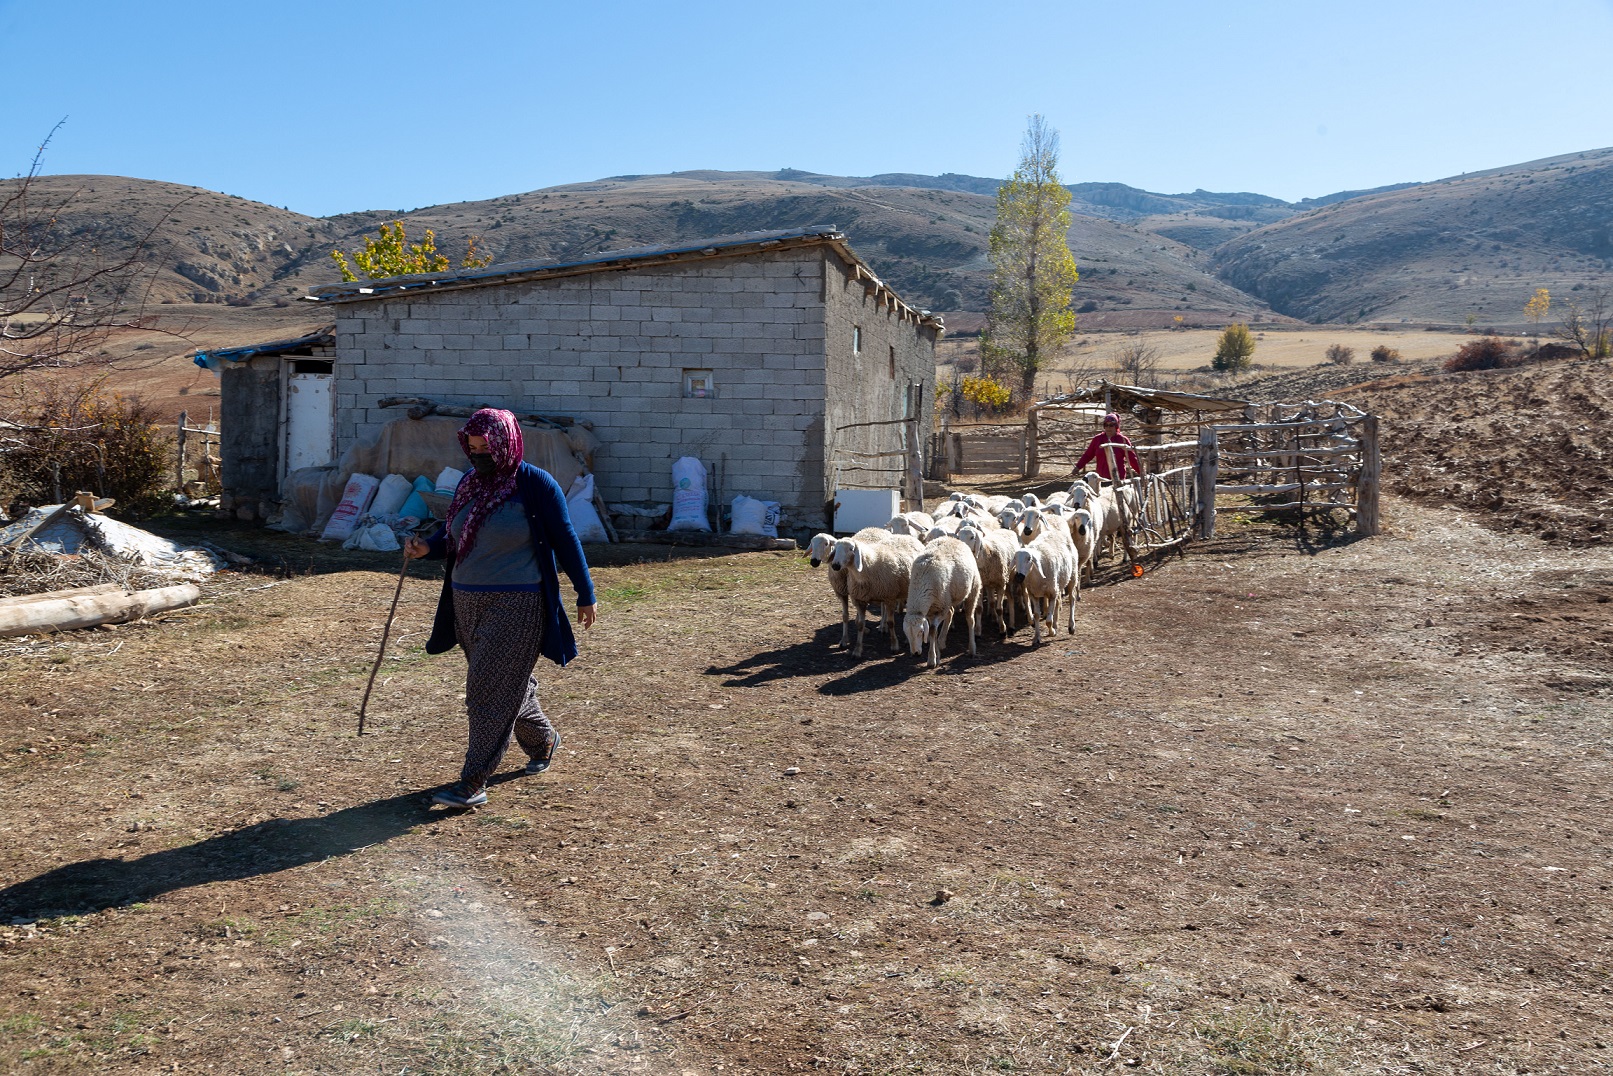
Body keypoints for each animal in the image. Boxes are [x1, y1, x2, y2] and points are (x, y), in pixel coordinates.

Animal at [903, 535, 974, 667]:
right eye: (906, 634)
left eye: (921, 632)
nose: (915, 654)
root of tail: (952, 538)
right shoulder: (931, 609)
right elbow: (933, 632)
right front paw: (937, 656)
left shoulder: (940, 608)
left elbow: (932, 630)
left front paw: (932, 659)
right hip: (948, 598)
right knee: (951, 612)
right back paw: (942, 642)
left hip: (972, 588)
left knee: (970, 619)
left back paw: (972, 649)